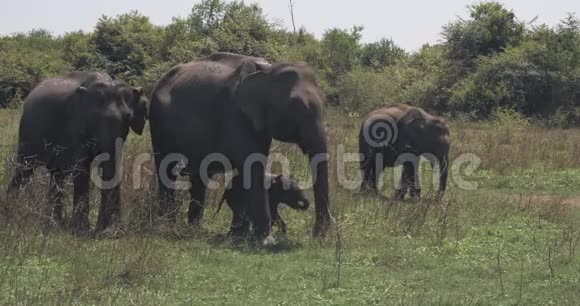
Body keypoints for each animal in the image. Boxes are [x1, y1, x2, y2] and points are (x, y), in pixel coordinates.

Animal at [3, 71, 147, 233]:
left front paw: (107, 232)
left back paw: (54, 225)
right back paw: (9, 214)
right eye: (93, 118)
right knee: (24, 169)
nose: (108, 231)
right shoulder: (76, 125)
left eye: (128, 117)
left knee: (56, 175)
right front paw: (81, 231)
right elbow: (81, 167)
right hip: (28, 132)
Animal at [150, 52, 330, 240]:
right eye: (295, 105)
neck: (268, 72)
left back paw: (193, 229)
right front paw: (266, 240)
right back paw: (167, 226)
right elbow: (253, 165)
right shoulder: (236, 115)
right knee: (166, 172)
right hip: (158, 122)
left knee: (200, 178)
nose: (317, 236)